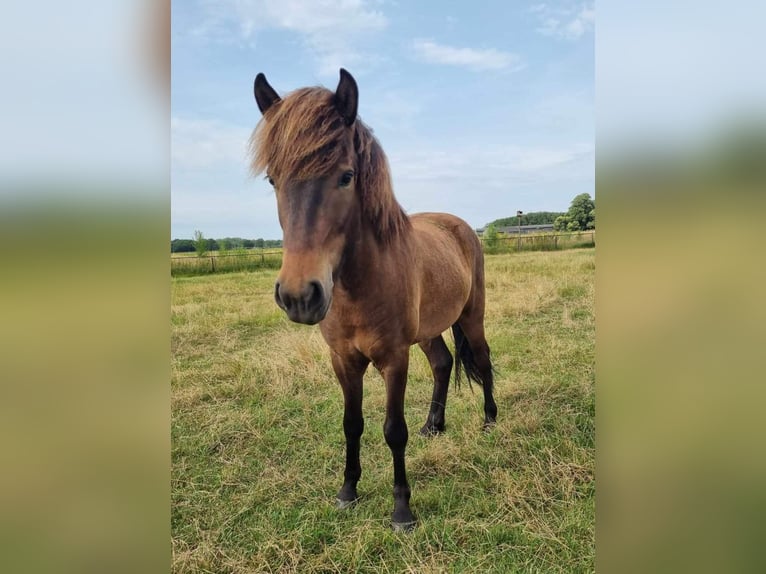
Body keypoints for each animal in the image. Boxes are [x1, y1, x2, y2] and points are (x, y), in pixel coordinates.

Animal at [250, 70, 498, 532]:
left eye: (347, 176)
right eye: (273, 179)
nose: (299, 295)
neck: (358, 287)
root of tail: (460, 226)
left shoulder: (393, 358)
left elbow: (393, 429)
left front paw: (401, 510)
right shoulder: (344, 360)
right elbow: (352, 424)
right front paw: (348, 490)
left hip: (472, 316)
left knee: (483, 359)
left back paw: (491, 421)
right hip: (428, 330)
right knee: (443, 363)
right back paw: (434, 425)